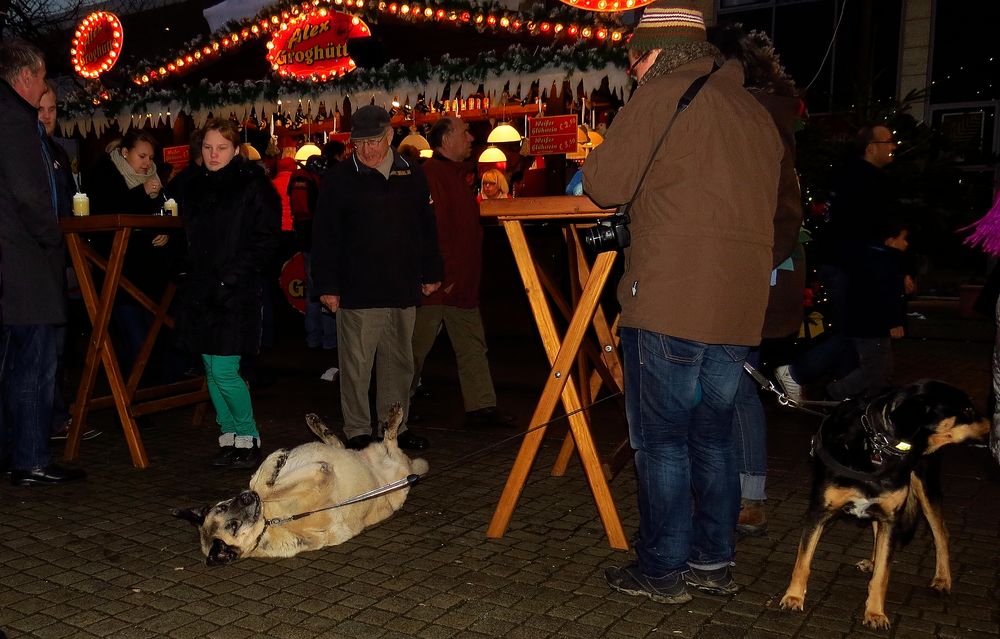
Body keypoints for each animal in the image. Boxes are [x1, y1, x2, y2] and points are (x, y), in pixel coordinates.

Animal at [176, 404, 426, 564]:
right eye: (233, 526)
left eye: (223, 507)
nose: (245, 497)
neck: (270, 523)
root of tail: (411, 466)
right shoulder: (319, 476)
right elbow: (265, 487)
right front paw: (274, 462)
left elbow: (258, 482)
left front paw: (271, 465)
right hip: (393, 466)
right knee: (389, 440)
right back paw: (393, 419)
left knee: (344, 445)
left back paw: (319, 426)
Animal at [776, 380, 988, 632]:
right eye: (966, 410)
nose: (991, 426)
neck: (876, 444)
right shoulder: (819, 512)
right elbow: (803, 561)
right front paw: (793, 597)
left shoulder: (891, 518)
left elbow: (882, 576)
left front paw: (875, 613)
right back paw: (874, 560)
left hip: (925, 485)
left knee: (941, 534)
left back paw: (942, 580)